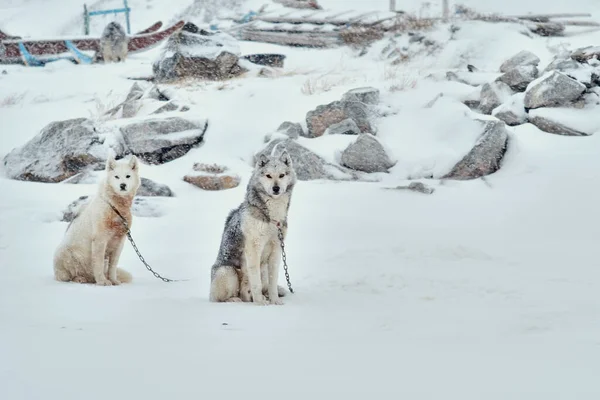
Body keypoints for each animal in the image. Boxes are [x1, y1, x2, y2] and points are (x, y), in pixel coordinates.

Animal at [53, 155, 141, 284]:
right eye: (116, 176)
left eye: (128, 176)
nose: (123, 185)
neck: (114, 207)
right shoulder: (100, 240)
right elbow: (98, 264)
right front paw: (103, 282)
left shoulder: (119, 242)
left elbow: (113, 266)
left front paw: (113, 281)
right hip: (65, 253)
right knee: (69, 276)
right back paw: (80, 279)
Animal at [209, 150, 298, 306]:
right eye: (268, 175)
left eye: (282, 175)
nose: (276, 188)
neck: (272, 218)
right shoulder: (253, 249)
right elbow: (256, 283)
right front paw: (260, 303)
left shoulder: (276, 250)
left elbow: (273, 281)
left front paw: (275, 301)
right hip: (227, 271)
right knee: (224, 298)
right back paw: (236, 299)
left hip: (262, 268)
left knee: (252, 291)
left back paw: (265, 296)